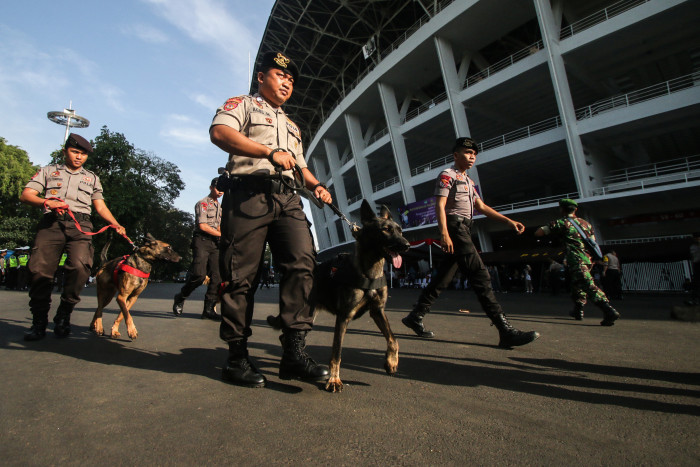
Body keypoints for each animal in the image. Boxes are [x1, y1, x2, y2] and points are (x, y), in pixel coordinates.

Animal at [268, 199, 410, 394]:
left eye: (400, 230)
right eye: (385, 229)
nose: (407, 245)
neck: (369, 272)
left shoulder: (378, 311)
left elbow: (393, 339)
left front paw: (391, 362)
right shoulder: (343, 317)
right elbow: (337, 352)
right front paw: (334, 379)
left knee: (286, 335)